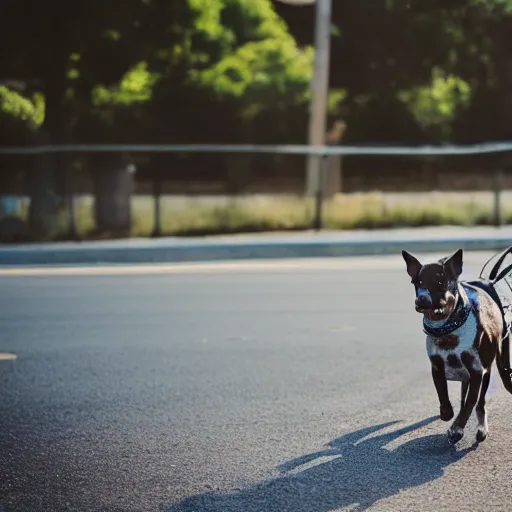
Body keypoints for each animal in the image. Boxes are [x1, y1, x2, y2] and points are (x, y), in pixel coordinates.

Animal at [402, 248, 512, 444]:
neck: (448, 329)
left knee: (481, 401)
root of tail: (487, 281)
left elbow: (470, 404)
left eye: (440, 281)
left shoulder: (477, 372)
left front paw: (457, 429)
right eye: (417, 282)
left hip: (495, 365)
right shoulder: (437, 367)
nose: (421, 299)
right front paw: (447, 414)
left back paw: (481, 428)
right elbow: (443, 396)